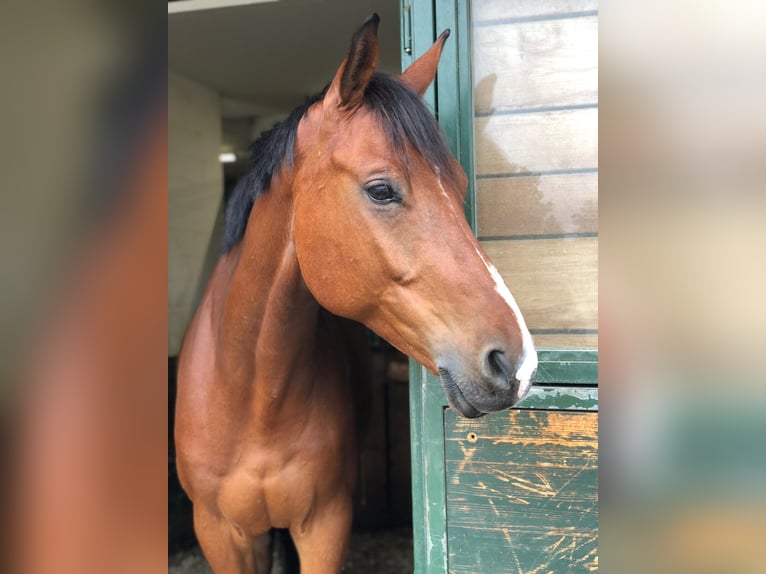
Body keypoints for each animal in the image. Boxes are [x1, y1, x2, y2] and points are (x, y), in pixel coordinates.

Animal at [175, 14, 536, 574]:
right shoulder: (219, 534)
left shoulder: (325, 524)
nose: (516, 364)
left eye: (458, 187)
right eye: (381, 190)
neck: (250, 396)